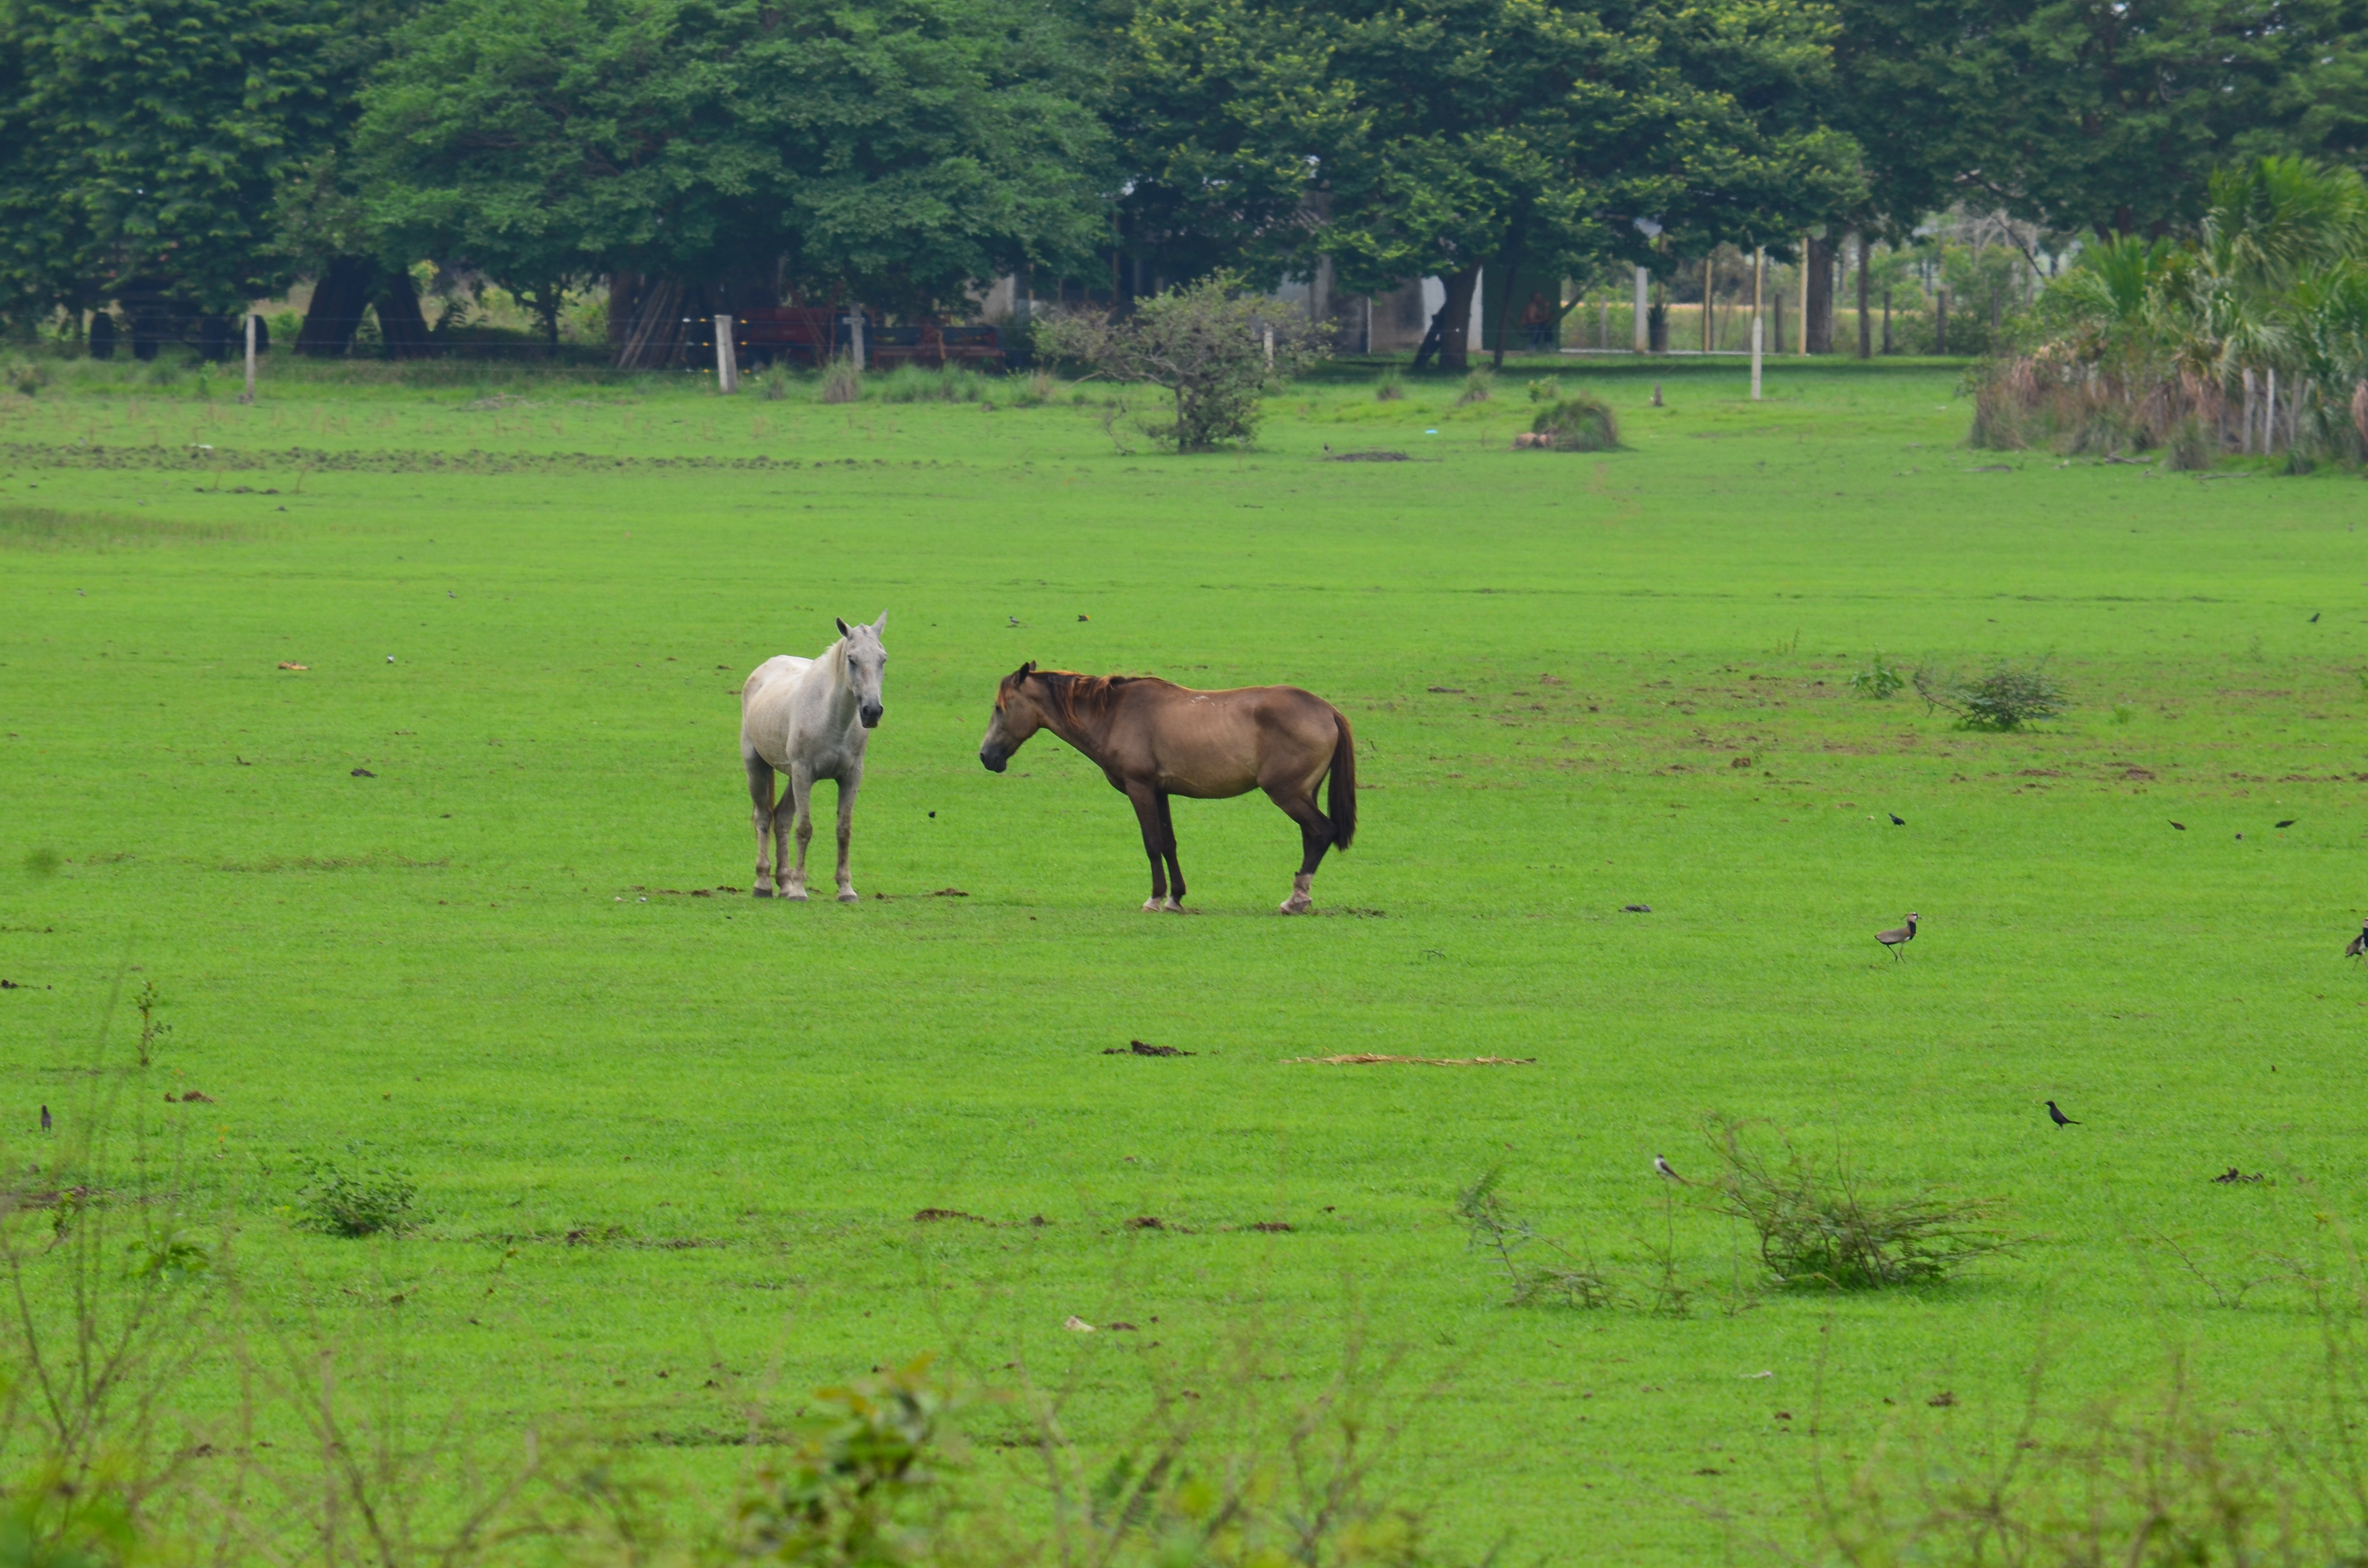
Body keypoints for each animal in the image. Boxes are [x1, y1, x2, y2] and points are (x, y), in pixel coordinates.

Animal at [740, 615, 887, 902]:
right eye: (852, 659)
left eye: (883, 659)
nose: (872, 711)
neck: (831, 718)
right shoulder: (804, 773)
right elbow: (805, 829)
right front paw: (799, 890)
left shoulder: (851, 776)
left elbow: (844, 830)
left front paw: (846, 889)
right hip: (757, 766)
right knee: (763, 818)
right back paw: (764, 884)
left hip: (791, 777)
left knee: (781, 818)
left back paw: (784, 883)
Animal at [977, 662, 1357, 914]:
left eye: (1000, 707)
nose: (986, 756)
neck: (1114, 714)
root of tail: (1327, 710)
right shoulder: (1161, 793)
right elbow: (1170, 843)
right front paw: (1176, 897)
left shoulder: (1140, 788)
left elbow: (1153, 843)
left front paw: (1156, 897)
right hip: (1303, 794)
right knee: (1312, 836)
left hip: (1287, 794)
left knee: (1322, 831)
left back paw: (1297, 899)